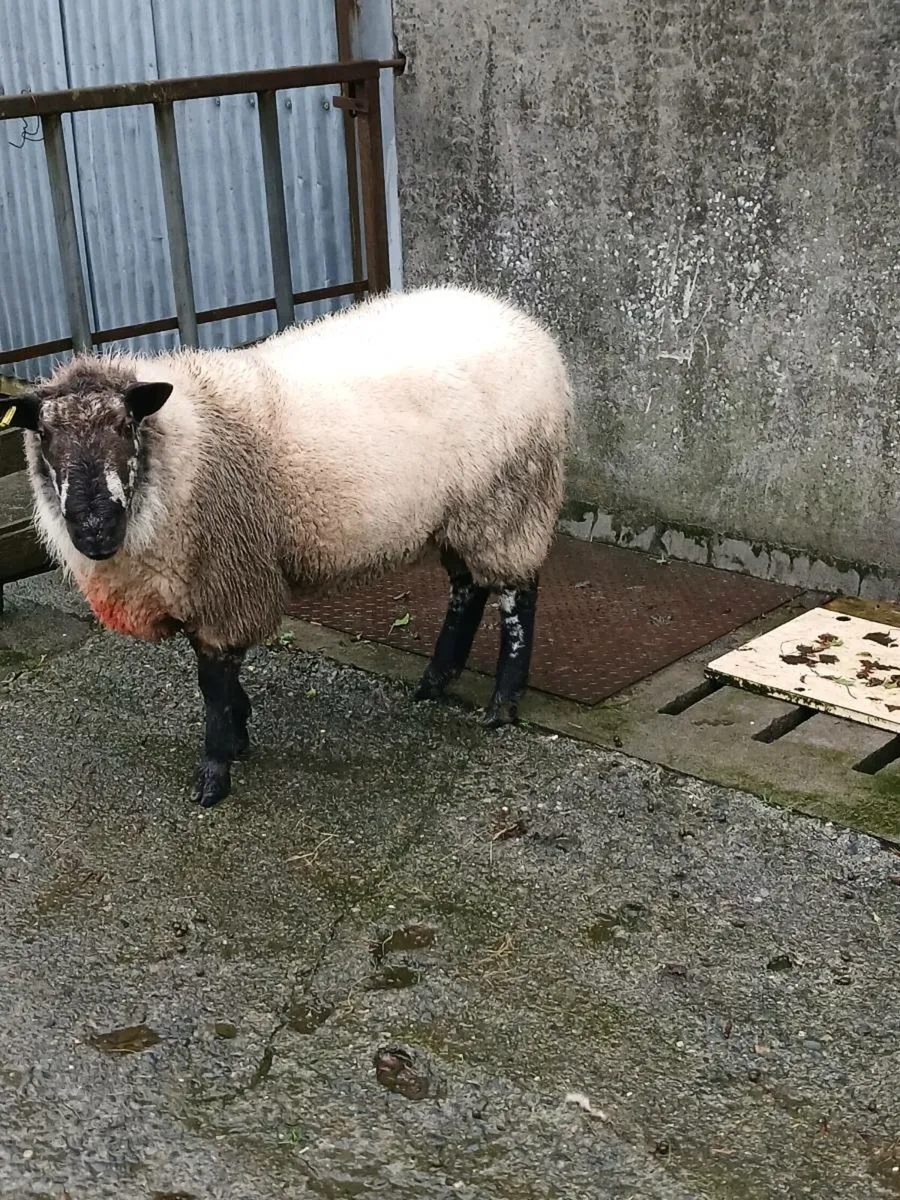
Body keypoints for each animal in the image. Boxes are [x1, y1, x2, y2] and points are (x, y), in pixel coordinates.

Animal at [5, 285, 572, 807]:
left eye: (126, 425)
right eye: (46, 437)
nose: (93, 529)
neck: (180, 450)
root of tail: (517, 319)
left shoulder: (226, 581)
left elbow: (211, 684)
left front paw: (215, 770)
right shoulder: (199, 583)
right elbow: (215, 675)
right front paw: (239, 729)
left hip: (509, 501)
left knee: (517, 596)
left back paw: (502, 704)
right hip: (461, 513)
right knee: (466, 589)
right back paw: (436, 679)